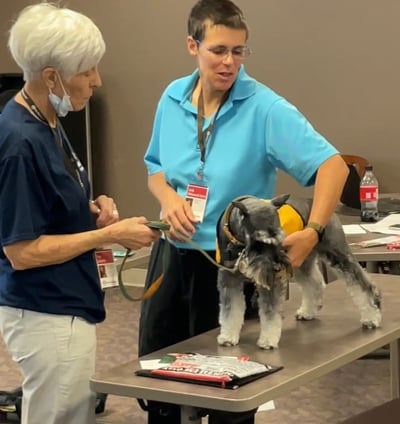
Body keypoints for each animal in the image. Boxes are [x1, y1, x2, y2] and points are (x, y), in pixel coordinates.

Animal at [217, 194, 382, 350]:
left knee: (362, 284)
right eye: (259, 242)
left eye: (280, 239)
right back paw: (308, 312)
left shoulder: (270, 283)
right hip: (302, 262)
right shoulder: (229, 280)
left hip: (336, 255)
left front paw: (268, 340)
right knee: (315, 283)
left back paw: (371, 317)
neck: (239, 244)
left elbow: (270, 313)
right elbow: (230, 310)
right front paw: (228, 336)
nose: (277, 268)